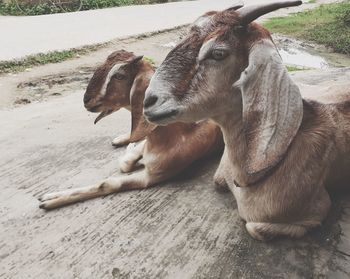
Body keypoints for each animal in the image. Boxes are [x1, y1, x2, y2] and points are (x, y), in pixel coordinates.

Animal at [38, 49, 223, 210]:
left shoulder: (152, 176)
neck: (178, 133)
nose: (86, 100)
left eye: (119, 75)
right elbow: (127, 162)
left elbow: (109, 183)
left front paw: (51, 199)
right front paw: (132, 150)